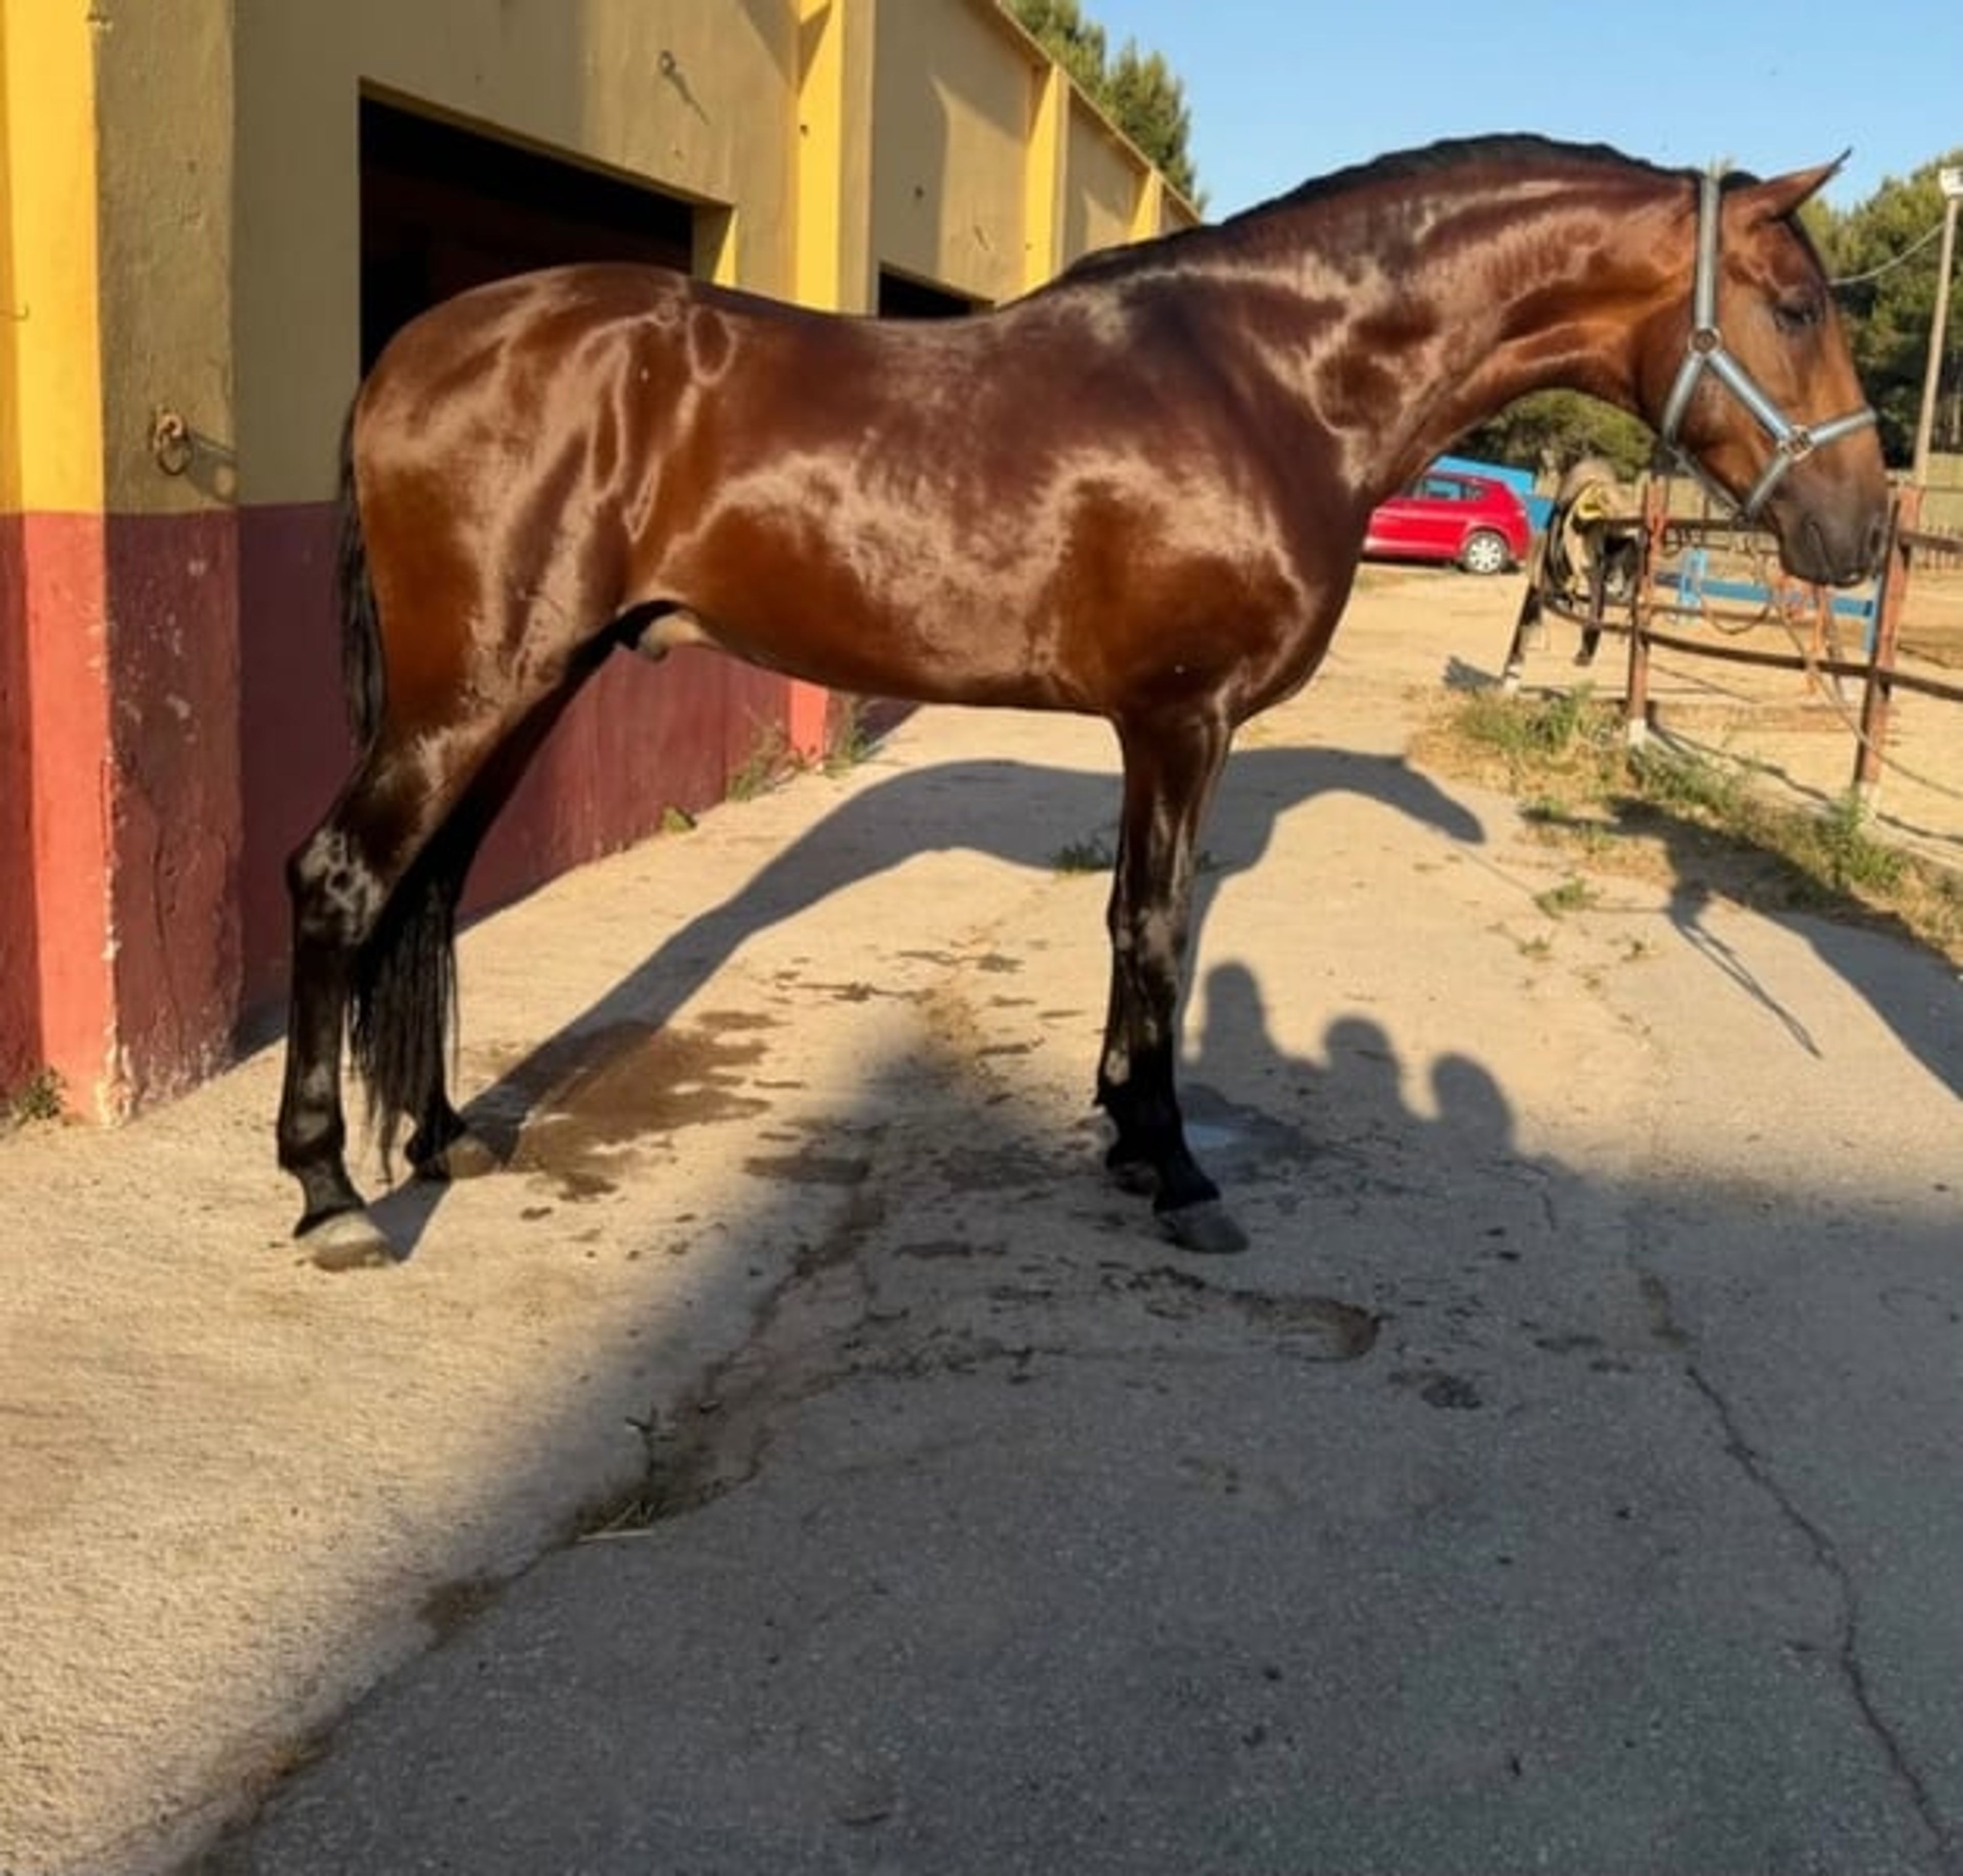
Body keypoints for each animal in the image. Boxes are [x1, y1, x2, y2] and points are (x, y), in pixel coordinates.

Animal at [276, 134, 1888, 1264]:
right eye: (1794, 304)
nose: (1864, 531)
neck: (1273, 379)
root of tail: (410, 354)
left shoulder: (1156, 728)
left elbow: (1133, 922)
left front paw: (1123, 1133)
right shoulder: (1182, 717)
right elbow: (1156, 931)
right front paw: (1172, 1166)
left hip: (523, 689)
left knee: (430, 887)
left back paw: (442, 1138)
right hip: (471, 691)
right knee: (345, 880)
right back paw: (330, 1191)